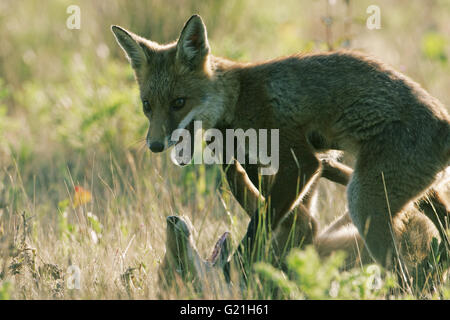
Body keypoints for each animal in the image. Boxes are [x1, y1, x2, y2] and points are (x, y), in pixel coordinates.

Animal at [110, 15, 450, 278]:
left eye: (179, 103)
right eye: (147, 106)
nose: (155, 146)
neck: (237, 99)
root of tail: (443, 123)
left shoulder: (301, 161)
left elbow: (261, 225)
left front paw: (236, 272)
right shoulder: (305, 164)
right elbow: (279, 208)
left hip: (364, 200)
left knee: (403, 275)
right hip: (406, 188)